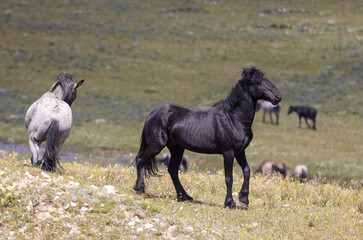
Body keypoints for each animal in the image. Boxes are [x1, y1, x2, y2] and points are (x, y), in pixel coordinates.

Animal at [133, 67, 282, 208]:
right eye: (259, 82)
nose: (278, 97)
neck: (234, 119)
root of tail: (152, 114)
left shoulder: (240, 151)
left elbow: (246, 171)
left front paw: (244, 199)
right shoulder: (228, 152)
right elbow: (229, 178)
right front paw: (230, 203)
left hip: (177, 148)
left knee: (173, 170)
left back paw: (184, 196)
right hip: (156, 145)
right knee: (140, 160)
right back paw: (140, 189)